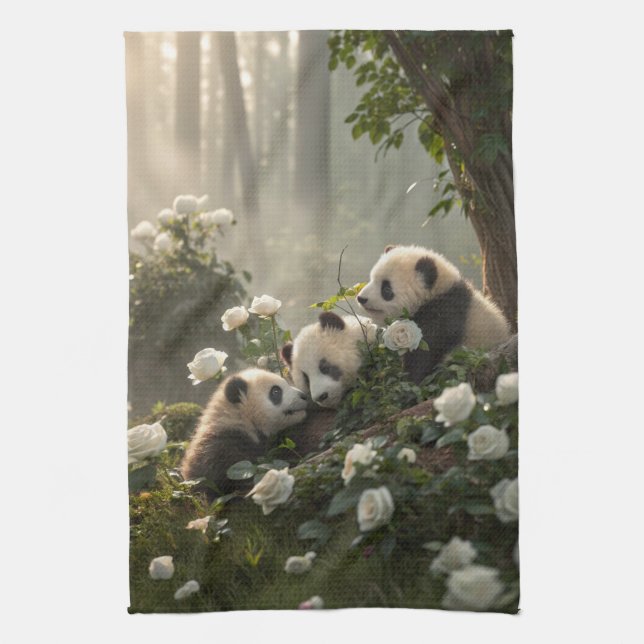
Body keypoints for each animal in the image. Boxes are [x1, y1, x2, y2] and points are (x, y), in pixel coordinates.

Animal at [357, 245, 511, 384]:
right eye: (372, 279)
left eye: (386, 289)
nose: (361, 298)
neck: (437, 292)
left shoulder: (441, 317)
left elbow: (424, 358)